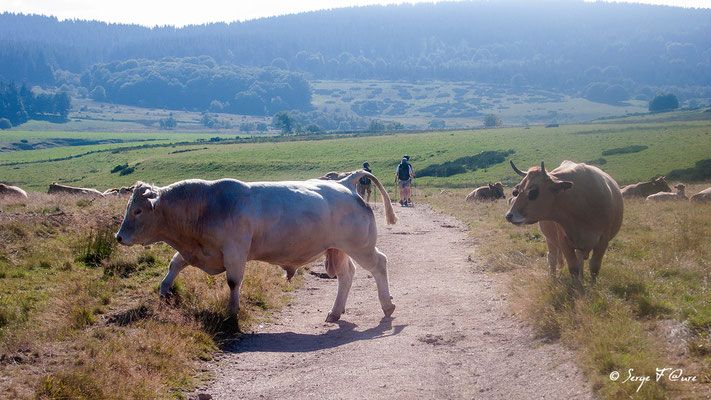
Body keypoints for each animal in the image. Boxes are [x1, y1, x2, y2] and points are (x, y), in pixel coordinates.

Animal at [114, 170, 398, 324]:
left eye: (138, 211)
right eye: (129, 208)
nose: (119, 237)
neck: (206, 206)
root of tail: (344, 182)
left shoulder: (235, 251)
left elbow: (233, 282)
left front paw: (231, 310)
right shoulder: (196, 250)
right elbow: (175, 263)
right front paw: (164, 290)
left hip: (360, 246)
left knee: (380, 264)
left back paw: (387, 305)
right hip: (338, 249)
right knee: (346, 275)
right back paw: (335, 311)